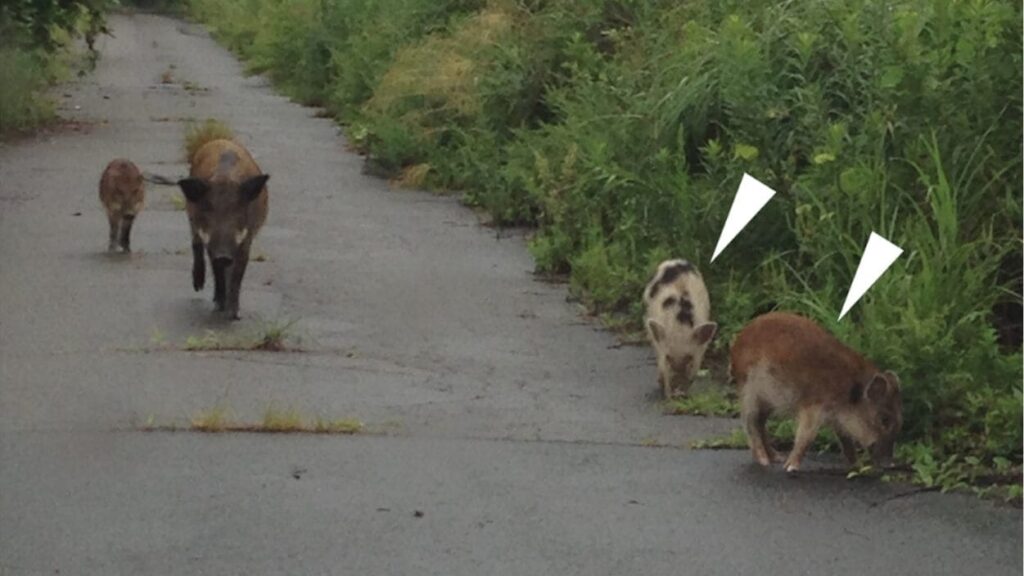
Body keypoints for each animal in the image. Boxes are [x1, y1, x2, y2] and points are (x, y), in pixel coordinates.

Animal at [177, 139, 269, 320]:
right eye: (207, 208)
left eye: (238, 209)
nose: (223, 255)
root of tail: (220, 140)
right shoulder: (209, 240)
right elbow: (216, 269)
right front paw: (219, 306)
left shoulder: (246, 238)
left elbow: (238, 272)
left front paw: (234, 314)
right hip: (191, 218)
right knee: (195, 244)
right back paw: (199, 287)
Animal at [729, 311, 903, 473]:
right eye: (884, 419)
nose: (890, 464)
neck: (848, 394)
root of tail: (737, 344)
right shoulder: (813, 407)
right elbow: (806, 437)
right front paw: (791, 468)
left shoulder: (838, 420)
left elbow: (846, 440)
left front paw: (858, 466)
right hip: (749, 391)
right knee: (750, 421)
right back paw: (765, 461)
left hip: (769, 400)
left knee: (761, 423)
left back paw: (777, 457)